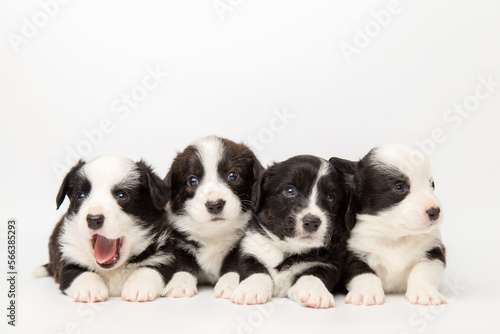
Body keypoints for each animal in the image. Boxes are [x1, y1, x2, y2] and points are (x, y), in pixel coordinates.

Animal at [35, 156, 176, 302]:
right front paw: (90, 288)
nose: (93, 219)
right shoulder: (69, 258)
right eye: (80, 196)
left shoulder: (164, 255)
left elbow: (150, 268)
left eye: (122, 196)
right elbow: (80, 273)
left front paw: (138, 286)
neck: (113, 270)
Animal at [164, 136, 264, 298]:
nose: (215, 205)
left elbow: (234, 264)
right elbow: (183, 263)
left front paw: (229, 284)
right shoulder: (179, 240)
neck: (213, 232)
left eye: (233, 176)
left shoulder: (242, 243)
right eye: (192, 181)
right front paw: (180, 283)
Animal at [229, 155, 354, 310]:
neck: (290, 247)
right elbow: (254, 269)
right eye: (289, 191)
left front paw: (314, 291)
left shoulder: (331, 262)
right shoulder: (251, 248)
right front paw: (251, 289)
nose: (312, 222)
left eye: (331, 198)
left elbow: (316, 274)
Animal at [332, 144, 446, 306]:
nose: (435, 211)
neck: (394, 236)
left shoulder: (433, 251)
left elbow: (423, 271)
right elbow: (362, 272)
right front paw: (366, 292)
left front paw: (425, 293)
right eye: (400, 188)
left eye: (432, 184)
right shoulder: (352, 253)